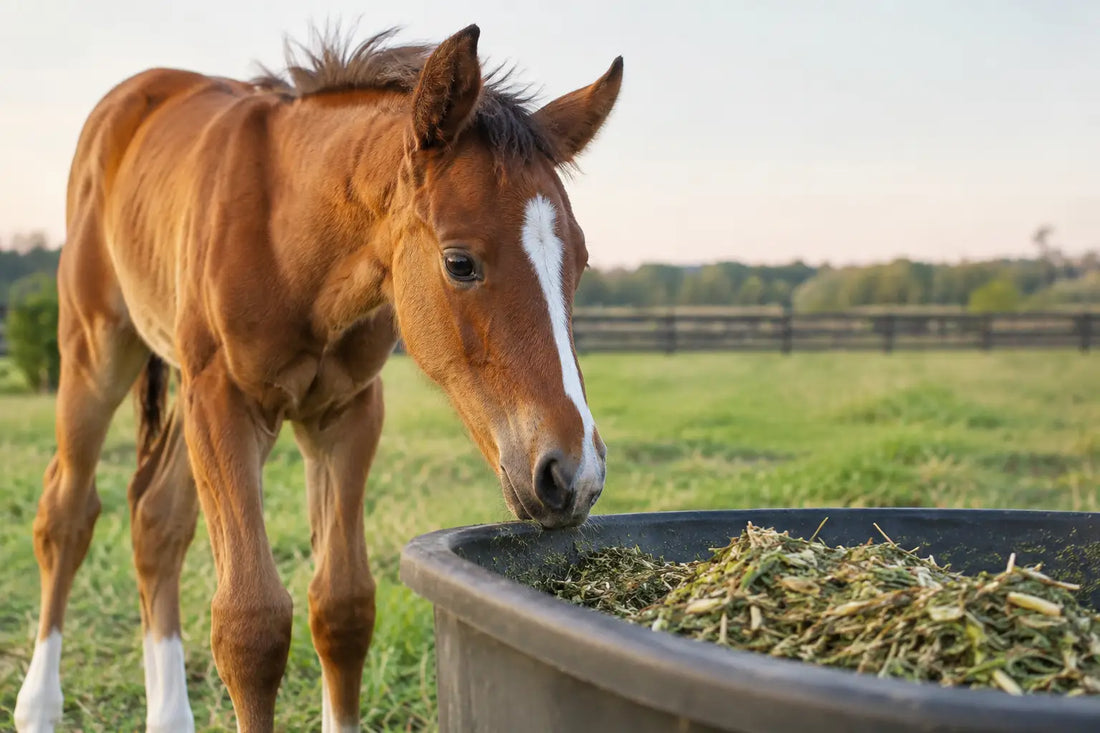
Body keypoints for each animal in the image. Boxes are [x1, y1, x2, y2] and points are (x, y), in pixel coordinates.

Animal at [14, 24, 620, 732]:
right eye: (459, 262)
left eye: (581, 261)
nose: (573, 476)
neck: (291, 236)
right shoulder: (224, 401)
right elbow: (249, 626)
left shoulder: (346, 414)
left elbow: (344, 606)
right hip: (97, 355)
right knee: (66, 514)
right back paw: (38, 707)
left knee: (156, 519)